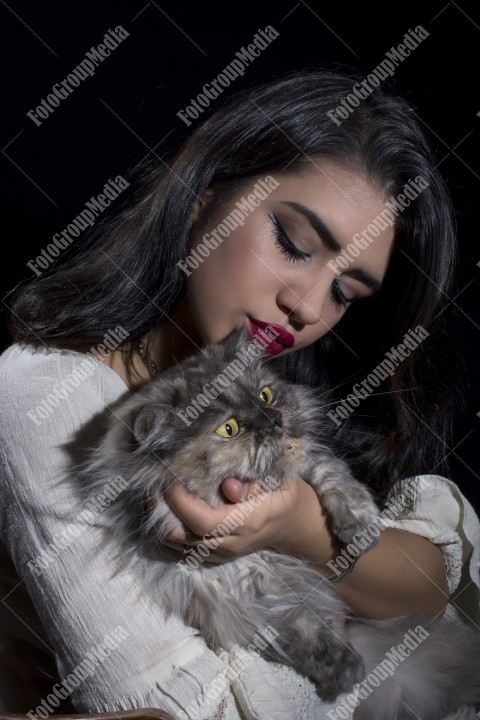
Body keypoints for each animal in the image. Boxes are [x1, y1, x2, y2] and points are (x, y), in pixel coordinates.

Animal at [81, 330, 480, 716]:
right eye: (229, 429)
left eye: (266, 395)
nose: (274, 420)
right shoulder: (243, 602)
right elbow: (301, 629)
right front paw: (345, 671)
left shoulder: (306, 463)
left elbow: (333, 478)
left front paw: (359, 531)